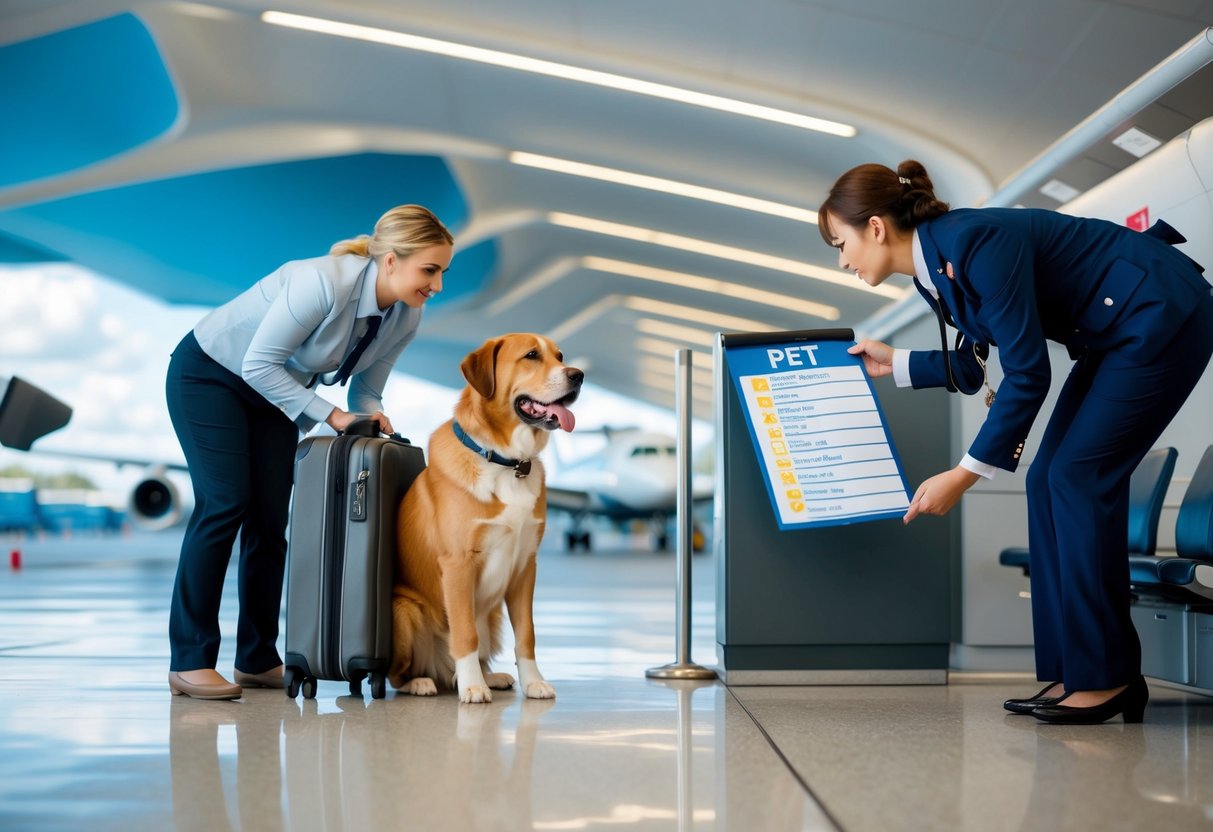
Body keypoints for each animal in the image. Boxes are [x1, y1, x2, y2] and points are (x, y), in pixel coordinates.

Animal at [385, 332, 579, 703]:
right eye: (531, 356)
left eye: (561, 356)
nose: (578, 375)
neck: (507, 462)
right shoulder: (458, 565)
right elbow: (465, 635)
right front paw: (473, 686)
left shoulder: (525, 566)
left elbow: (527, 635)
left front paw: (533, 682)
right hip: (403, 610)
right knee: (397, 673)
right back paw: (424, 682)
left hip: (492, 615)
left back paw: (490, 676)